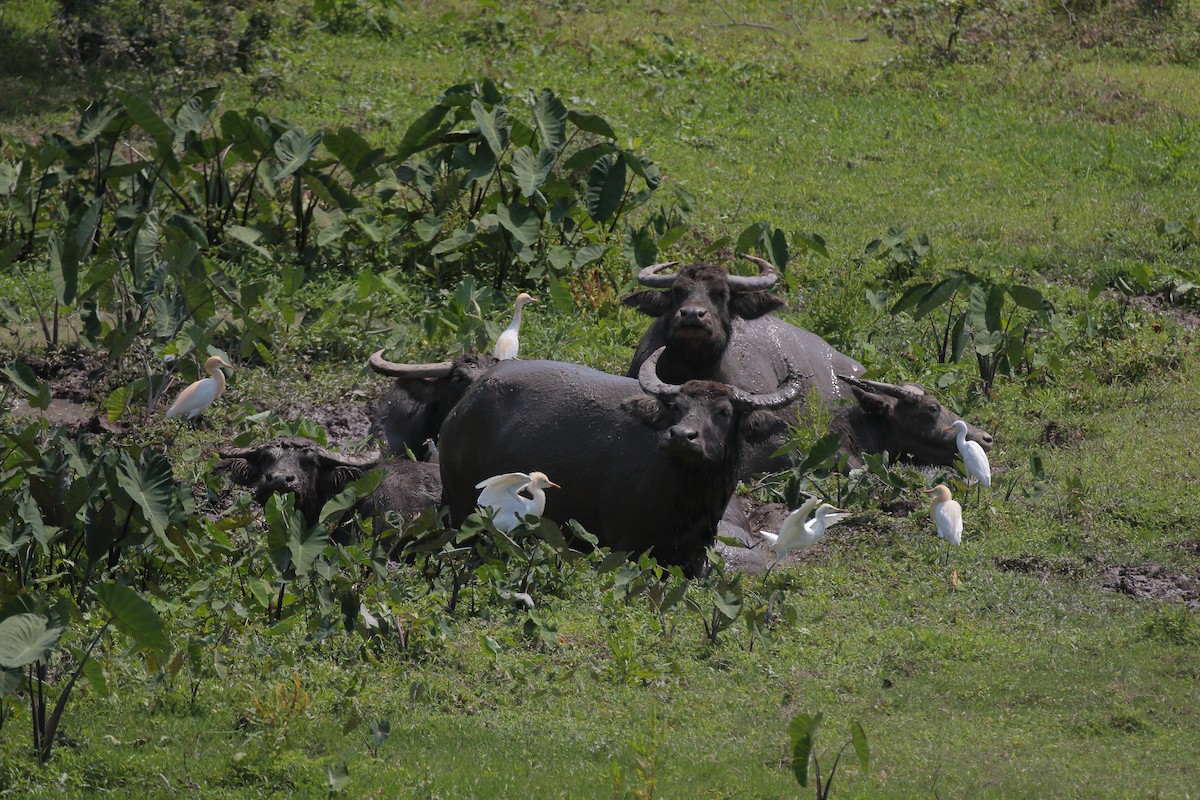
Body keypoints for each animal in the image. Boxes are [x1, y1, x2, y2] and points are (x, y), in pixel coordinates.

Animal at [436, 345, 801, 575]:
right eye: (678, 407)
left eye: (724, 412)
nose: (681, 436)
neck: (684, 498)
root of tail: (464, 406)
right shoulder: (627, 550)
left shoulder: (691, 560)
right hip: (463, 512)